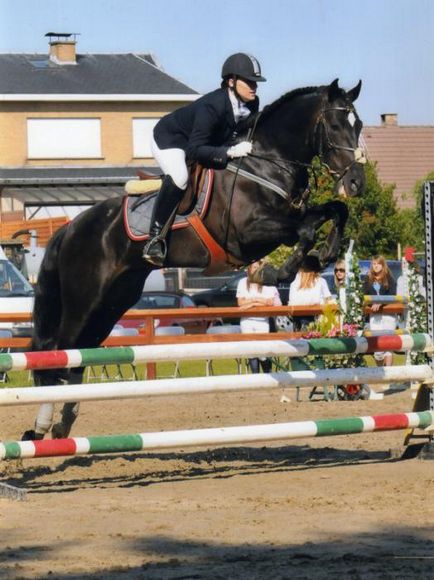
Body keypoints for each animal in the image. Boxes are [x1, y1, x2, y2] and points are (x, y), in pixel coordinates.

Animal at [22, 78, 364, 440]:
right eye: (336, 126)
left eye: (359, 125)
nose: (357, 182)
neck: (266, 163)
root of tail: (70, 227)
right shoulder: (249, 234)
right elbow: (305, 230)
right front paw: (278, 271)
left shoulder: (287, 219)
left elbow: (333, 212)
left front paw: (323, 255)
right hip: (83, 300)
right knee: (58, 350)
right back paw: (41, 427)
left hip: (112, 302)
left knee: (78, 353)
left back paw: (63, 422)